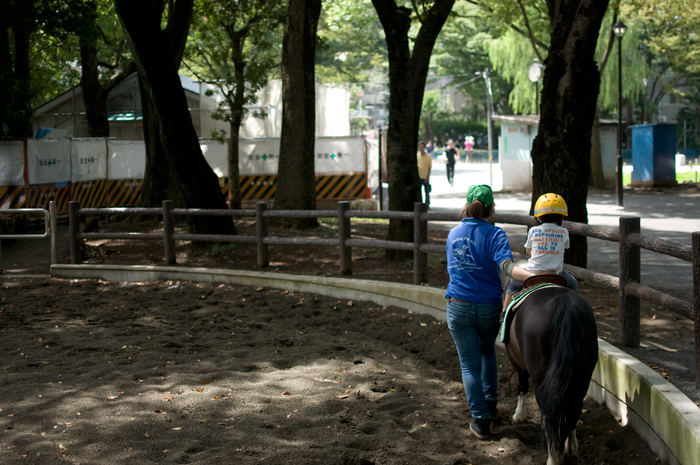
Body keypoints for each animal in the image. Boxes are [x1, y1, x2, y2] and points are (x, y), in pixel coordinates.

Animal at [506, 286, 600, 464]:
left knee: (549, 413)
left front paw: (518, 415)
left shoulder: (519, 366)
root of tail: (564, 305)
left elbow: (522, 386)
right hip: (583, 376)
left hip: (541, 378)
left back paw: (552, 458)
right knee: (574, 408)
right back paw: (571, 448)